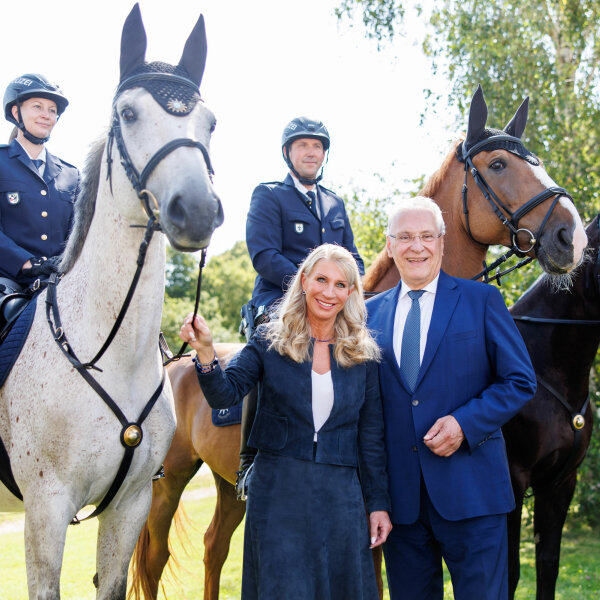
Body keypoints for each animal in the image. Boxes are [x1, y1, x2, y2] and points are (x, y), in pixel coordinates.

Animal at [0, 5, 223, 600]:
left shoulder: (129, 506)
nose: (196, 210)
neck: (109, 352)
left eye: (210, 122)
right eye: (128, 112)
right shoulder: (46, 512)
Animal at [127, 88, 584, 600]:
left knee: (213, 547)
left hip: (226, 488)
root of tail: (176, 363)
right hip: (167, 481)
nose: (571, 236)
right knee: (155, 558)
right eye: (500, 164)